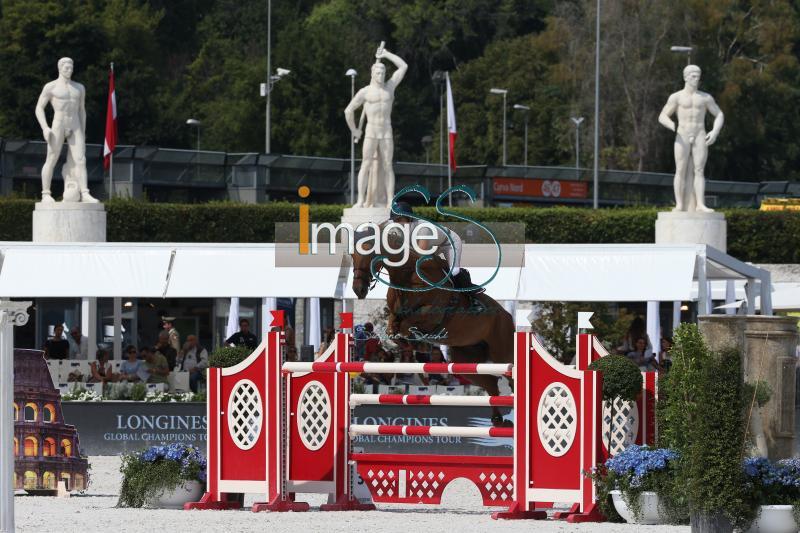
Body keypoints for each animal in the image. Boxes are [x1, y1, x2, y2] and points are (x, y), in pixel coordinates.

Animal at [352, 231, 516, 426]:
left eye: (369, 254)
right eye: (352, 256)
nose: (358, 290)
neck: (407, 278)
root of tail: (507, 315)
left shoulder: (432, 314)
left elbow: (407, 325)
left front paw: (419, 344)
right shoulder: (394, 315)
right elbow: (392, 330)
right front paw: (409, 345)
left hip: (501, 352)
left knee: (510, 376)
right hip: (464, 359)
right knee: (491, 383)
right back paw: (499, 421)